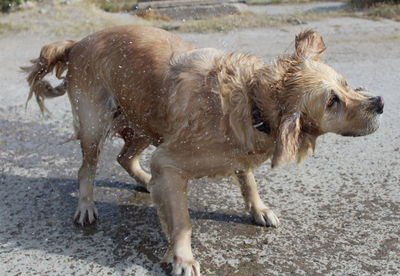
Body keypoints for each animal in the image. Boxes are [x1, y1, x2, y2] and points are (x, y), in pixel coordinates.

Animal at [22, 26, 384, 276]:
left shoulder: (236, 152)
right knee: (87, 168)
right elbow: (183, 221)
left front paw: (259, 209)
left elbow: (247, 180)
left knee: (125, 157)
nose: (380, 102)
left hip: (145, 119)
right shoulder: (170, 160)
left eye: (346, 84)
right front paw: (182, 256)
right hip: (96, 124)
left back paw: (146, 181)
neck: (252, 102)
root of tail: (76, 43)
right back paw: (87, 205)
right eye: (332, 101)